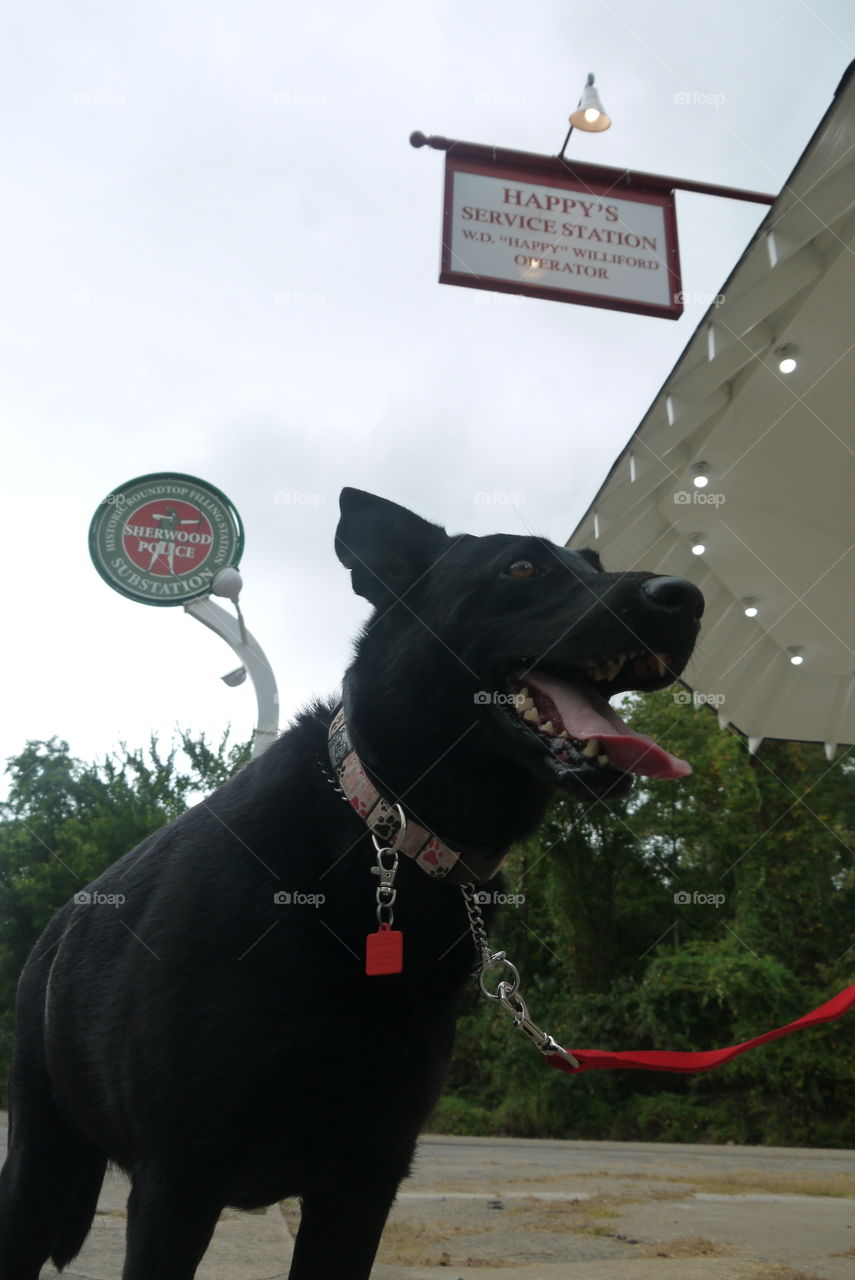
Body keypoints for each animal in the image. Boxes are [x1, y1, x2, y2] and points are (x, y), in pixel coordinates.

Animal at [0, 483, 701, 1274]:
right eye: (521, 568)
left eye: (594, 565)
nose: (687, 597)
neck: (390, 830)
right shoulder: (178, 1182)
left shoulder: (363, 1182)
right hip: (38, 1164)